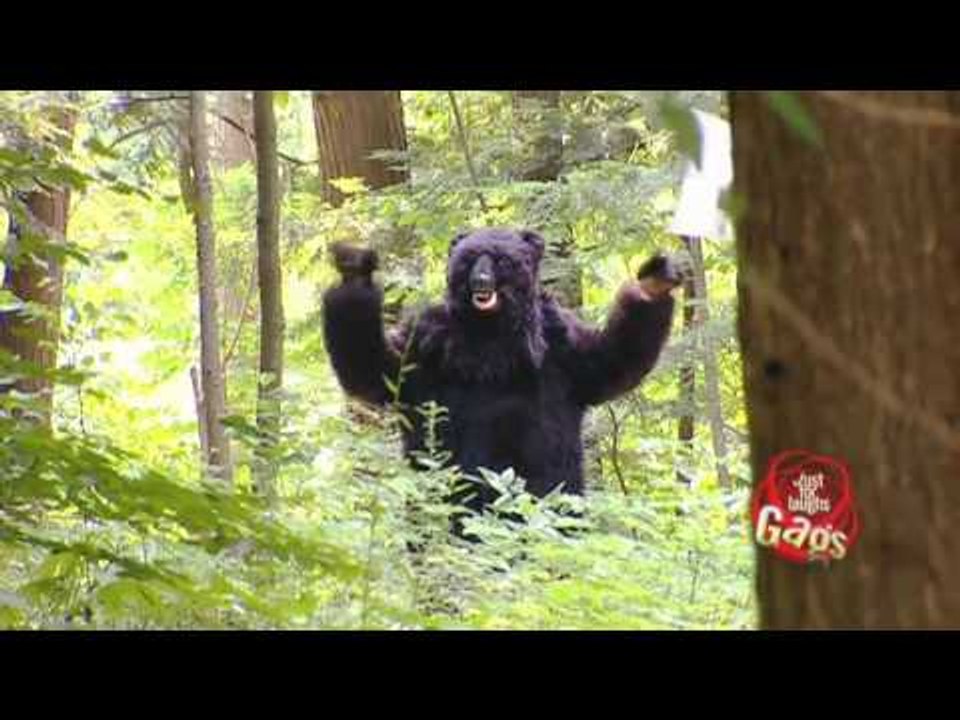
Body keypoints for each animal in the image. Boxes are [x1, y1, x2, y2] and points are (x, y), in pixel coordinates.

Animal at [322, 227, 682, 515]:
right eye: (469, 260)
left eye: (500, 260)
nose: (480, 281)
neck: (491, 334)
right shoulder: (428, 345)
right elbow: (377, 368)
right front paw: (354, 270)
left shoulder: (562, 350)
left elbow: (613, 357)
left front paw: (654, 281)